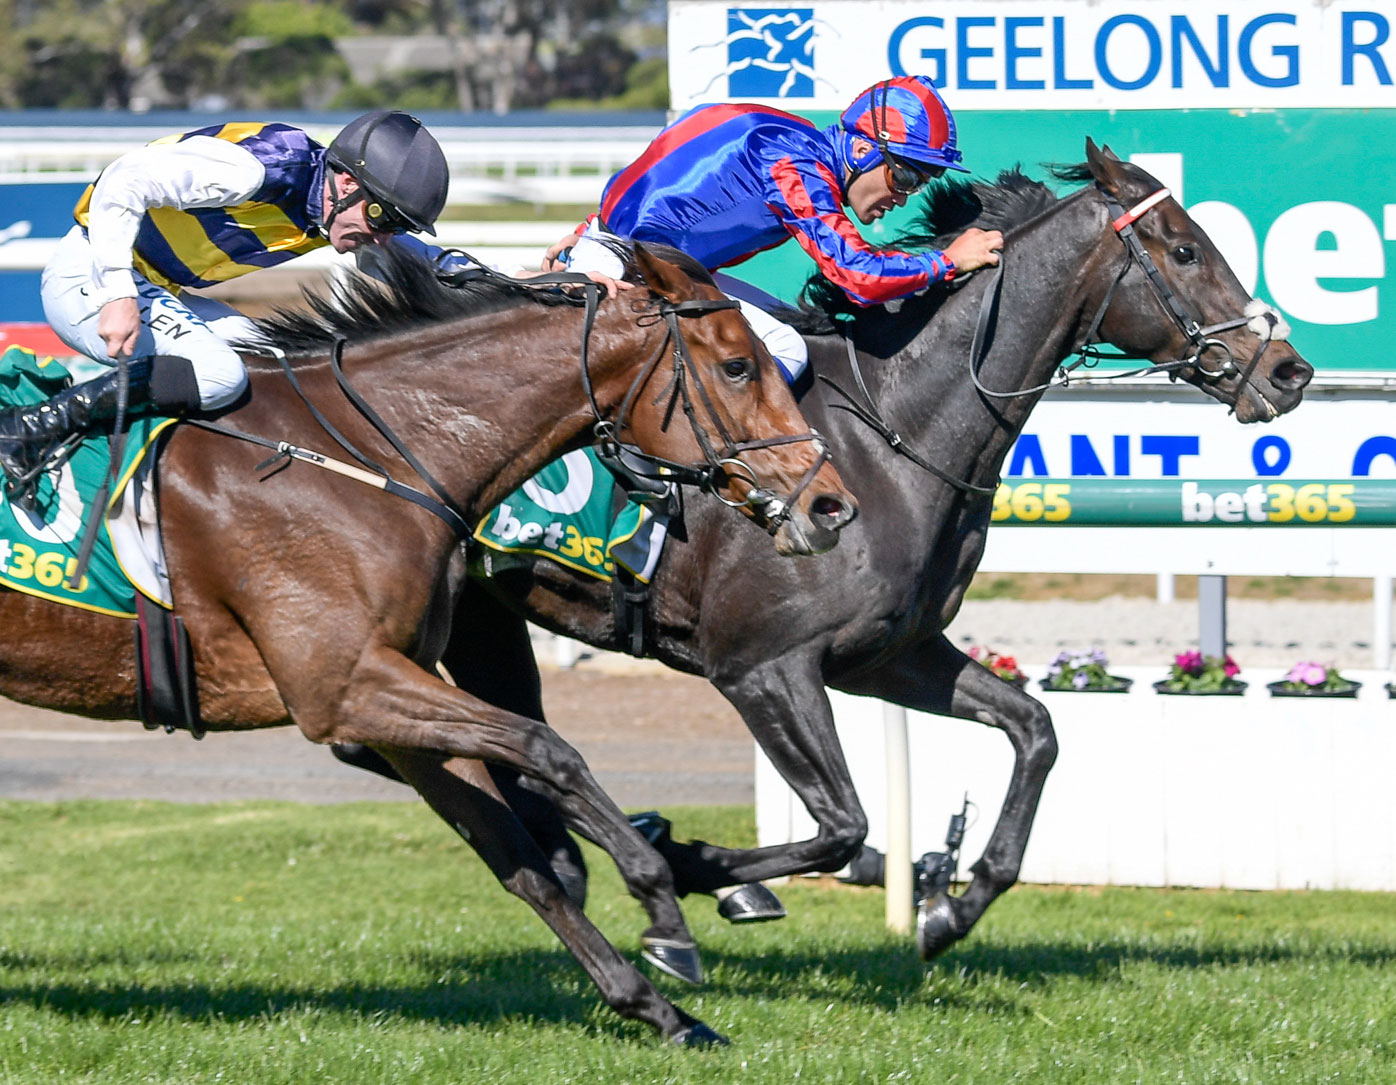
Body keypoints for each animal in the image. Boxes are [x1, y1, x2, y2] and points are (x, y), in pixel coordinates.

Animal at [0, 242, 858, 1046]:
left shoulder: (394, 695)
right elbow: (550, 750)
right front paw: (662, 906)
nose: (832, 504)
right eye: (739, 364)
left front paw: (662, 1010)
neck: (363, 456)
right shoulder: (343, 685)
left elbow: (520, 859)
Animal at [430, 141, 1315, 960]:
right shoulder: (761, 666)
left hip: (482, 614)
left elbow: (1035, 729)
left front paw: (951, 907)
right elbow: (842, 824)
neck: (890, 436)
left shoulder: (887, 654)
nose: (1290, 370)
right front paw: (693, 860)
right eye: (1186, 249)